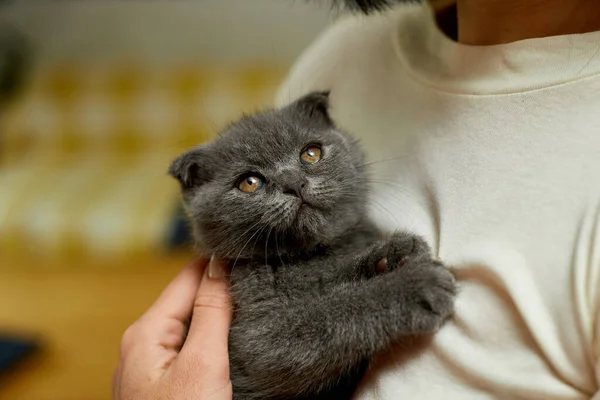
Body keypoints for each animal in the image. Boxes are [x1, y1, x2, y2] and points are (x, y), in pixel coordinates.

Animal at [169, 92, 454, 398]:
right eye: (249, 182)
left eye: (310, 153)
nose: (293, 182)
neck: (310, 255)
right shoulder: (259, 335)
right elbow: (331, 313)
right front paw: (413, 286)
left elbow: (335, 274)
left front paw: (394, 252)